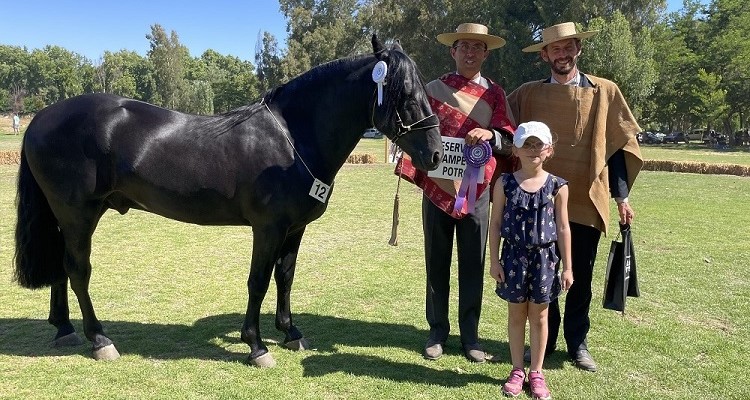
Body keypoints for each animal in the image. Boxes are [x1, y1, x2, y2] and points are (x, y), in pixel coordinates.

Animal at [13, 36, 440, 368]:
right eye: (404, 93)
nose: (435, 154)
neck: (291, 140)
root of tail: (41, 118)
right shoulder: (267, 229)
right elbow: (258, 281)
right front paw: (257, 345)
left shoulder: (294, 228)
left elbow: (285, 276)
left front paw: (290, 332)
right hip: (78, 214)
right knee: (77, 269)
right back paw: (100, 339)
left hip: (69, 216)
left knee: (62, 267)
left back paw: (65, 329)